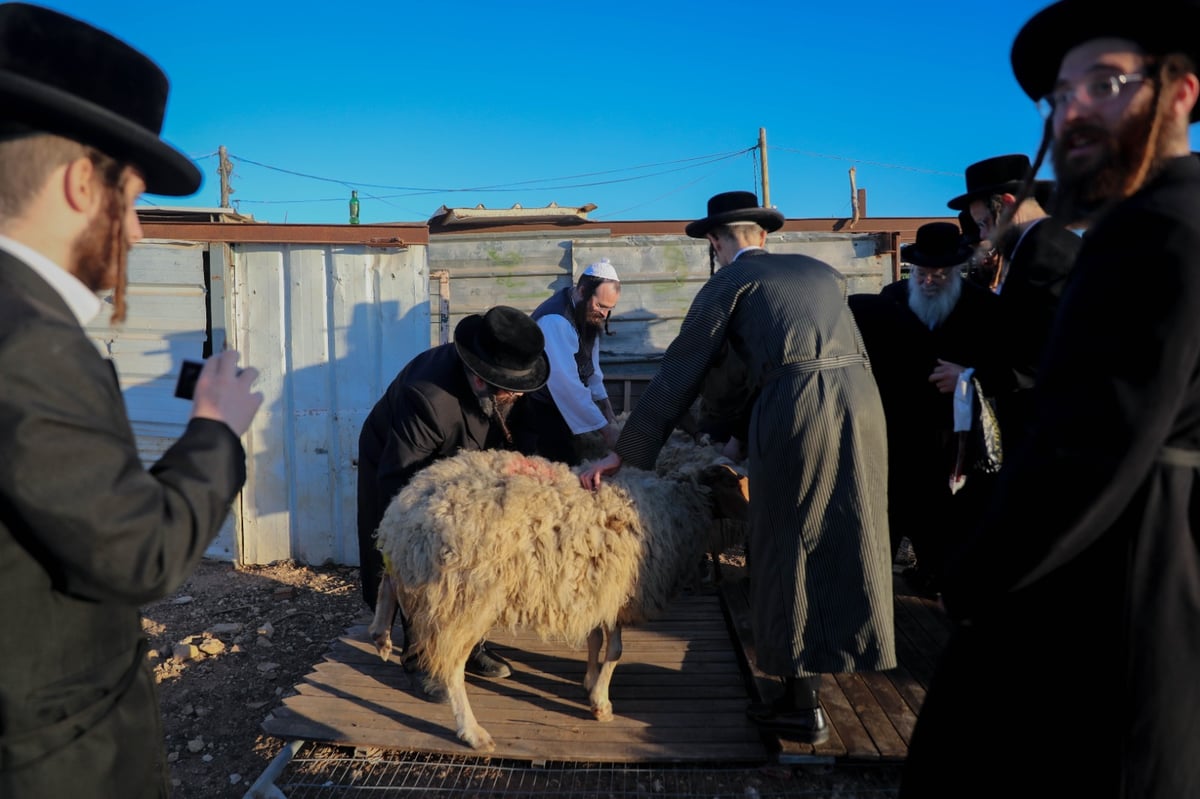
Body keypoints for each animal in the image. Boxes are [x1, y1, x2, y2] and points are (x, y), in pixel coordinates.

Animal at [367, 448, 748, 753]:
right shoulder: (618, 589)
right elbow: (615, 650)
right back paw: (472, 732)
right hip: (463, 599)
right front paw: (601, 703)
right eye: (732, 483)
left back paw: (380, 633)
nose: (752, 511)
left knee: (389, 580)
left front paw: (589, 682)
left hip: (420, 569)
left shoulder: (598, 588)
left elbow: (594, 640)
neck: (676, 504)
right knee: (451, 669)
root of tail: (405, 506)